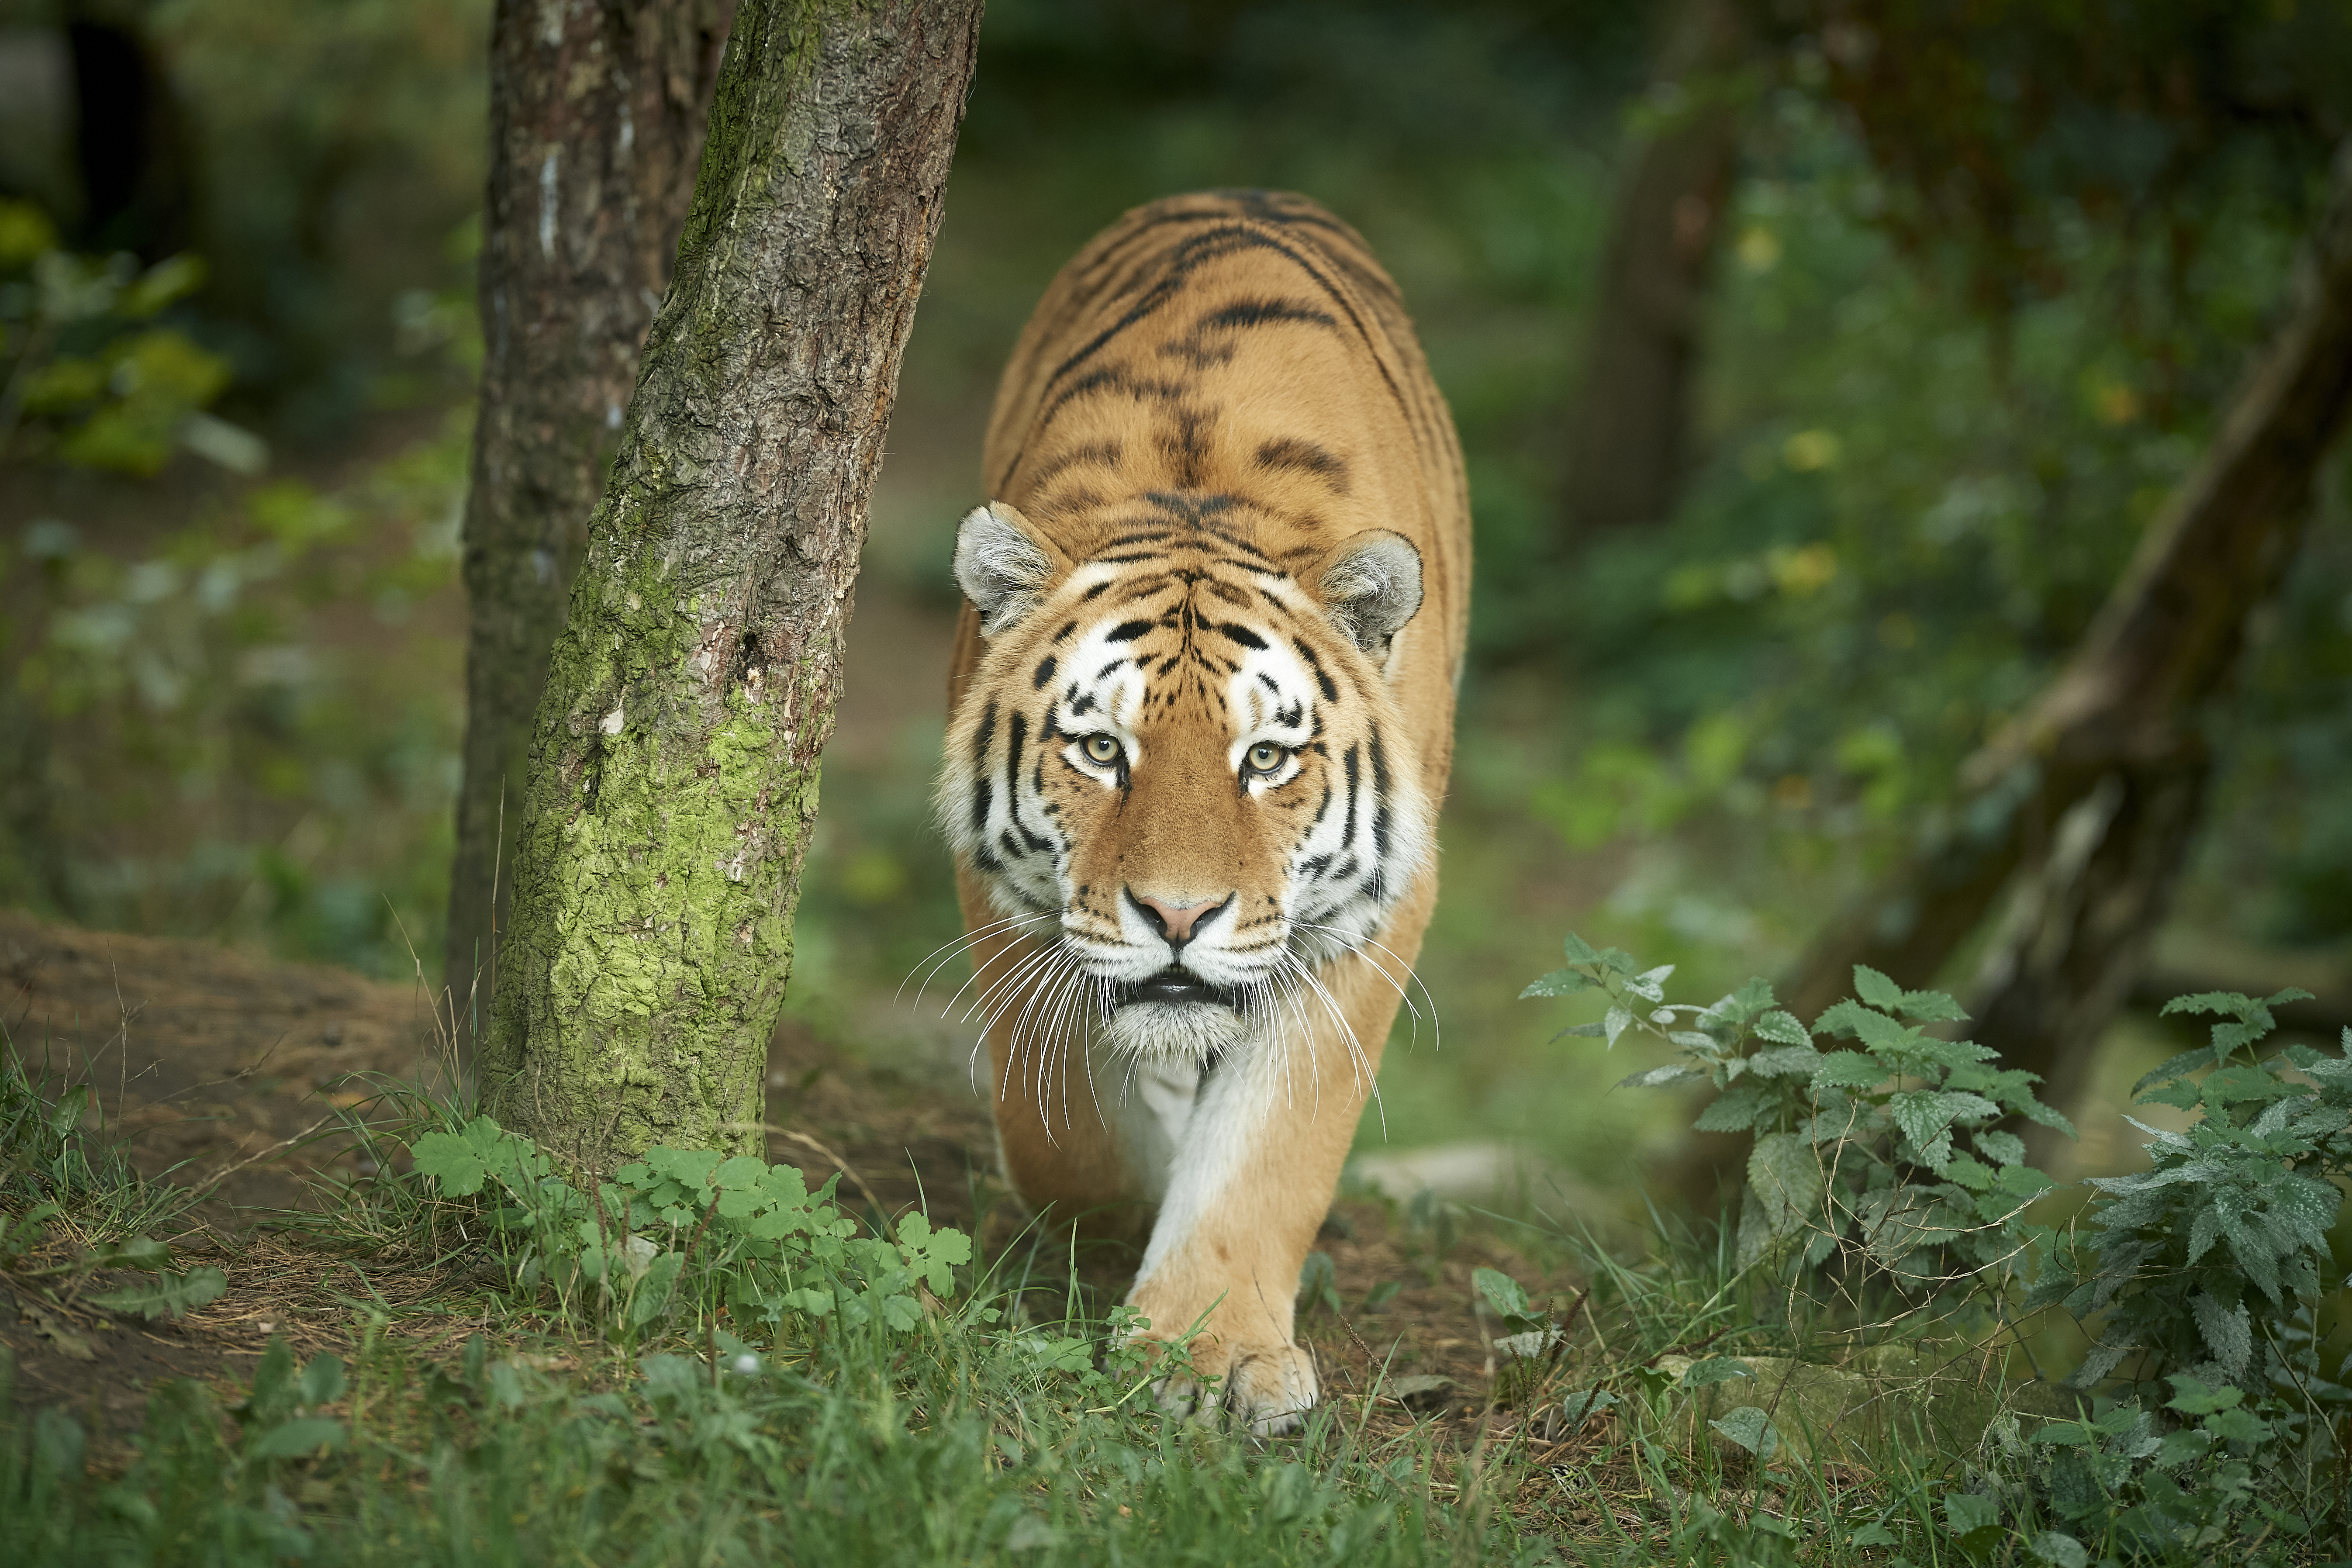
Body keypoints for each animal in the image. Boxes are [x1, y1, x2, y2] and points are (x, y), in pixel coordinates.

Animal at [935, 189, 1470, 1433]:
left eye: (1265, 758)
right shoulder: (1009, 901)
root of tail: (1245, 192)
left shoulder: (1371, 915)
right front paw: (1138, 1202)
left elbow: (1273, 1141)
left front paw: (1207, 1351)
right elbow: (1059, 1130)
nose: (1178, 919)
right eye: (1100, 748)